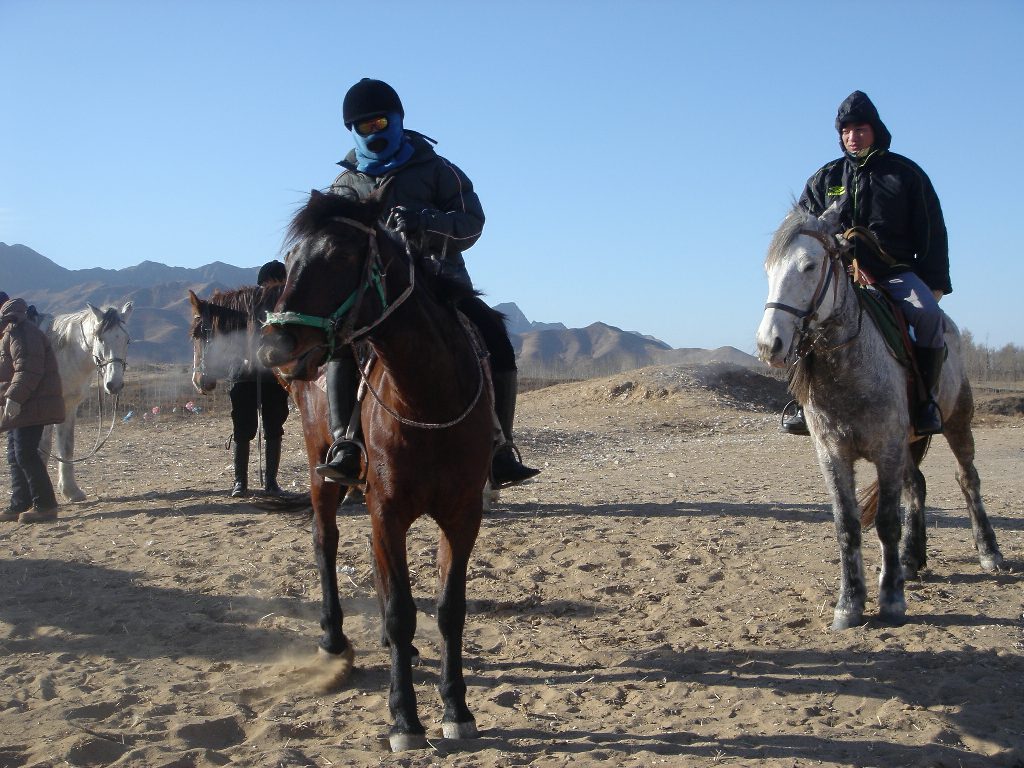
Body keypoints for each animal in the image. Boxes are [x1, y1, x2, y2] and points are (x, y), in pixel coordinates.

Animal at [258, 191, 493, 753]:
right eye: (290, 261)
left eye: (341, 257)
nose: (276, 348)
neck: (428, 398)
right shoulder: (388, 511)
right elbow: (402, 612)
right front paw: (404, 719)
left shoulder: (462, 515)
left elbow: (449, 611)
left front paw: (456, 709)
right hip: (322, 473)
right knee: (325, 543)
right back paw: (333, 638)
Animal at [757, 204, 1003, 630]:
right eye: (769, 270)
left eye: (809, 265)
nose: (769, 344)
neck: (849, 367)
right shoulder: (832, 455)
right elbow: (847, 524)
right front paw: (849, 602)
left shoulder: (887, 449)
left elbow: (887, 522)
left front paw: (890, 599)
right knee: (917, 485)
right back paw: (911, 558)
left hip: (957, 423)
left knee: (967, 479)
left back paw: (989, 551)